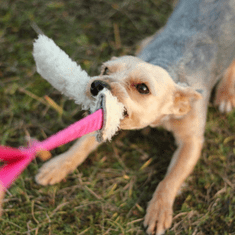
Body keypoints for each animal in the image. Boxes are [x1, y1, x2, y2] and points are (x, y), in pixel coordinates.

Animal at [35, 0, 235, 234]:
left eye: (143, 88)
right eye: (105, 69)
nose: (97, 85)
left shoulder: (191, 141)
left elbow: (171, 178)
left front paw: (159, 210)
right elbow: (81, 144)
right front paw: (59, 165)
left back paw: (226, 92)